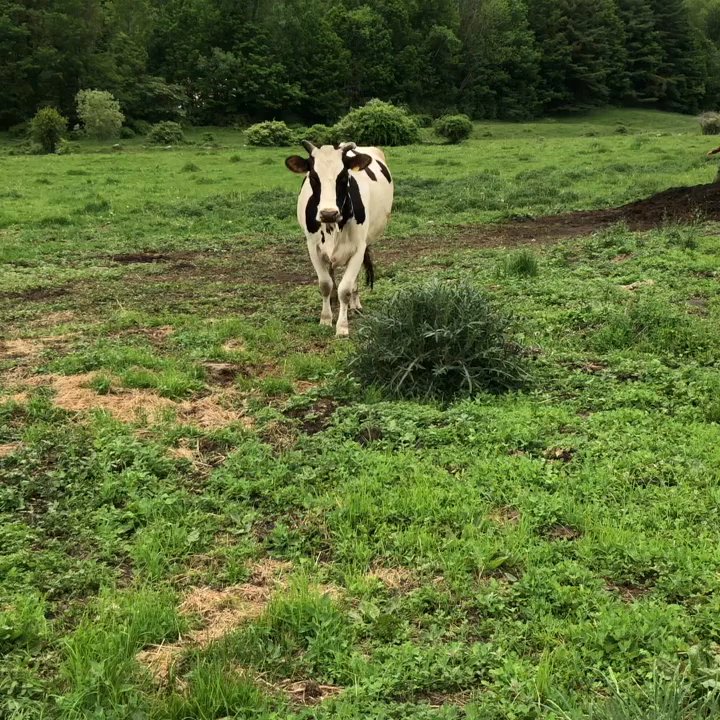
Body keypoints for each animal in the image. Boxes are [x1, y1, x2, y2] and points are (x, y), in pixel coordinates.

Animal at [285, 140, 394, 337]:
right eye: (313, 176)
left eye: (343, 177)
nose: (328, 213)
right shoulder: (313, 247)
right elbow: (325, 284)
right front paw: (326, 319)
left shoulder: (358, 248)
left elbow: (345, 289)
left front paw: (342, 326)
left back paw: (354, 304)